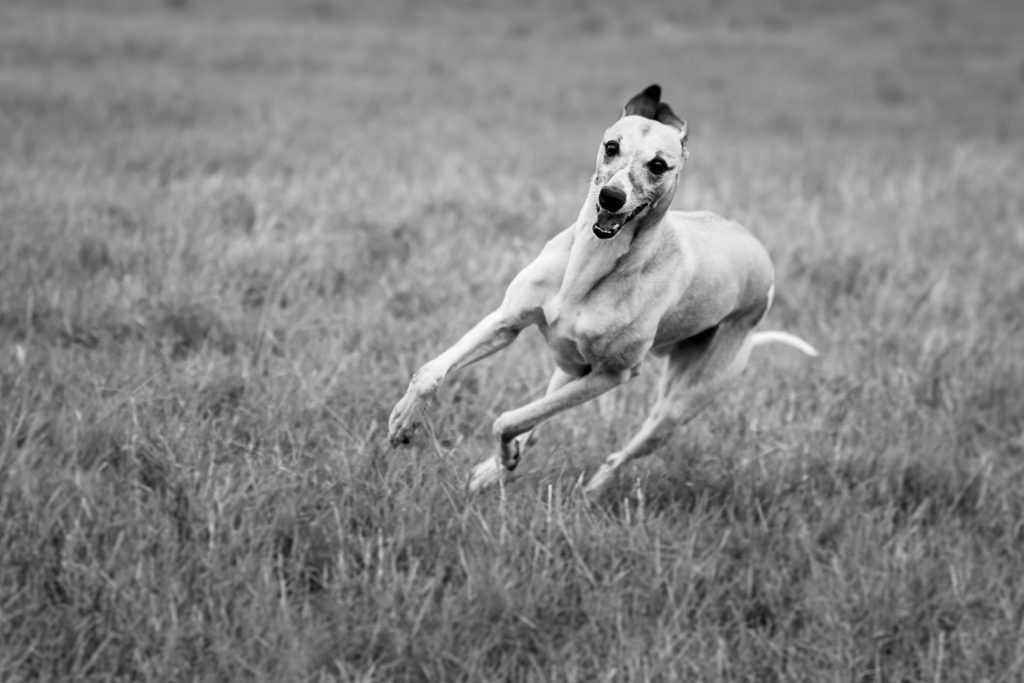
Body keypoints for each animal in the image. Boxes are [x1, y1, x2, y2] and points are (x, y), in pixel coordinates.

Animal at [387, 85, 819, 499]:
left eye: (658, 165)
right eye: (612, 146)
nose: (611, 198)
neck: (591, 263)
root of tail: (763, 261)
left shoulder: (614, 374)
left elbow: (505, 419)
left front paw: (505, 455)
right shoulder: (507, 321)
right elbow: (432, 372)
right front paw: (404, 421)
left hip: (676, 404)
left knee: (616, 450)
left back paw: (586, 491)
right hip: (569, 370)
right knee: (538, 425)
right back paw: (492, 472)